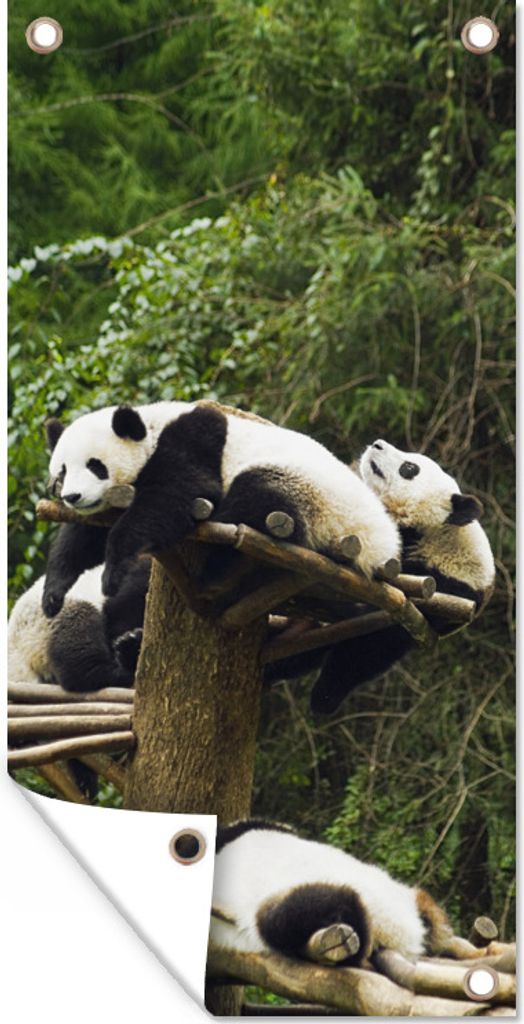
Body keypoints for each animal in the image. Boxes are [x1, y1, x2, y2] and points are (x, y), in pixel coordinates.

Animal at [42, 401, 400, 615]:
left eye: (95, 466)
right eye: (62, 470)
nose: (73, 497)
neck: (152, 426)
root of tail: (382, 546)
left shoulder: (193, 440)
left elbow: (179, 493)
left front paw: (113, 575)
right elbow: (82, 537)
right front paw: (53, 595)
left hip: (313, 496)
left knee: (253, 499)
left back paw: (214, 569)